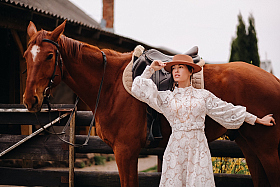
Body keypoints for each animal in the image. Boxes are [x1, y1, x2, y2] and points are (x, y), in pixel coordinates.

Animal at [23, 20, 280, 187]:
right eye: (26, 56)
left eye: (49, 56)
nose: (29, 99)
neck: (110, 83)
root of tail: (274, 79)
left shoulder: (125, 151)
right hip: (249, 146)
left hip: (267, 149)